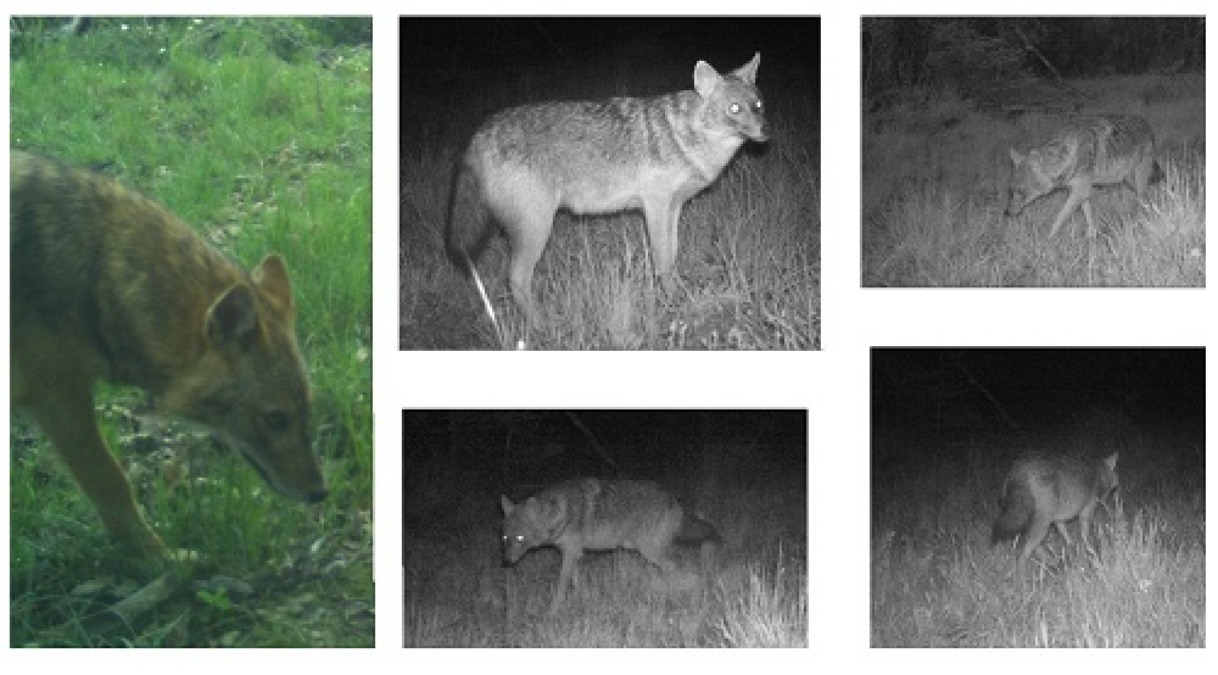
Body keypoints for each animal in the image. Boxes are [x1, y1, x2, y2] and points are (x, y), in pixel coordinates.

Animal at [10, 150, 327, 559]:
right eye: (275, 418)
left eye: (305, 411)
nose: (321, 493)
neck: (98, 272)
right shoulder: (57, 396)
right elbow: (110, 481)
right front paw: (158, 559)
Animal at [448, 53, 770, 325]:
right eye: (734, 109)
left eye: (758, 106)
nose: (767, 130)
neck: (686, 135)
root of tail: (481, 132)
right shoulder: (655, 207)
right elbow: (663, 259)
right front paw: (673, 301)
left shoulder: (674, 207)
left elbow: (673, 255)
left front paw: (679, 292)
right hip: (537, 228)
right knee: (516, 280)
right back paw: (541, 327)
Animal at [500, 478, 720, 613]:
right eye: (504, 538)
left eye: (520, 538)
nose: (506, 563)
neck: (560, 512)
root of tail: (674, 500)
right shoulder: (575, 553)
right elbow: (577, 582)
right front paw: (582, 600)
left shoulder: (569, 554)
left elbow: (562, 585)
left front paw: (553, 611)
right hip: (644, 550)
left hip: (649, 551)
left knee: (680, 569)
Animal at [1006, 115, 1159, 237]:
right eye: (1011, 191)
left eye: (1021, 192)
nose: (1006, 213)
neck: (1067, 156)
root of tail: (1147, 123)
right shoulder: (1082, 191)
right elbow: (1088, 213)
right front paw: (1091, 234)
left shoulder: (1079, 191)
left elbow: (1059, 218)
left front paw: (1047, 240)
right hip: (1128, 180)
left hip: (1138, 183)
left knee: (1145, 198)